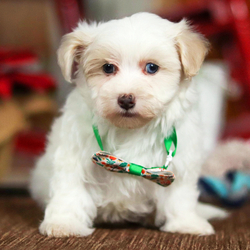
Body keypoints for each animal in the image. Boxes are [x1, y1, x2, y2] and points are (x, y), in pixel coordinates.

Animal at [29, 12, 227, 237]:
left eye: (152, 68)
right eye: (108, 68)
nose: (125, 99)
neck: (130, 129)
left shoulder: (180, 163)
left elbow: (180, 197)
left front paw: (187, 223)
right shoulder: (73, 155)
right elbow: (69, 190)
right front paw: (64, 223)